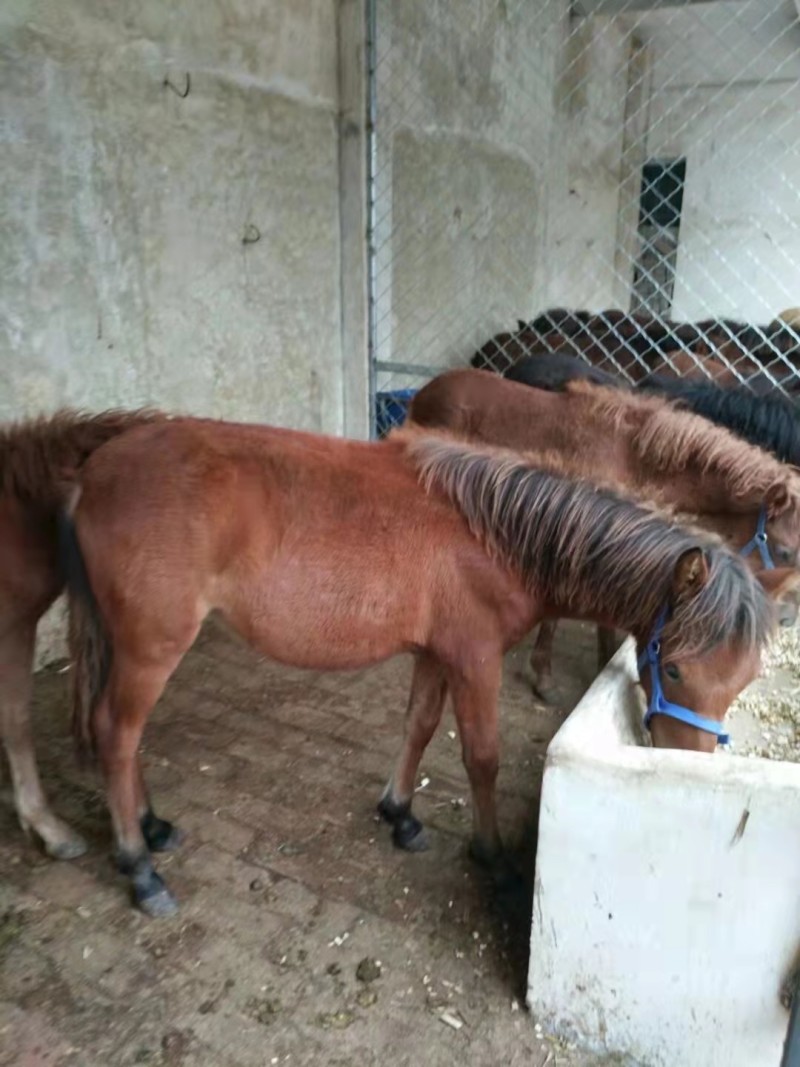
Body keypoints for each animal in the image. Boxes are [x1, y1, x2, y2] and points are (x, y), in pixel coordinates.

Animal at [58, 417, 791, 917]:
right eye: (676, 668)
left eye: (741, 680)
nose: (689, 762)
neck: (498, 531)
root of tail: (90, 477)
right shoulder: (474, 658)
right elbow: (481, 756)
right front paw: (490, 854)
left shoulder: (437, 655)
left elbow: (418, 726)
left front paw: (400, 814)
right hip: (152, 648)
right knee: (116, 734)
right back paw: (139, 866)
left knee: (123, 736)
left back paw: (152, 827)